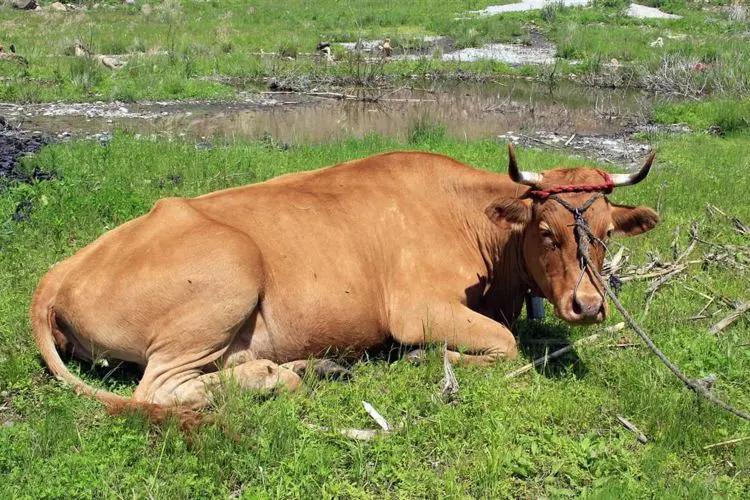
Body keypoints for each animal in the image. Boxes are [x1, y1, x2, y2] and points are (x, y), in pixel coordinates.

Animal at [32, 145, 660, 414]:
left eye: (606, 231)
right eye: (547, 231)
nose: (587, 306)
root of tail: (57, 273)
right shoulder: (416, 308)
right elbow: (505, 344)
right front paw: (426, 358)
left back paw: (312, 367)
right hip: (230, 272)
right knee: (157, 388)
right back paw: (278, 377)